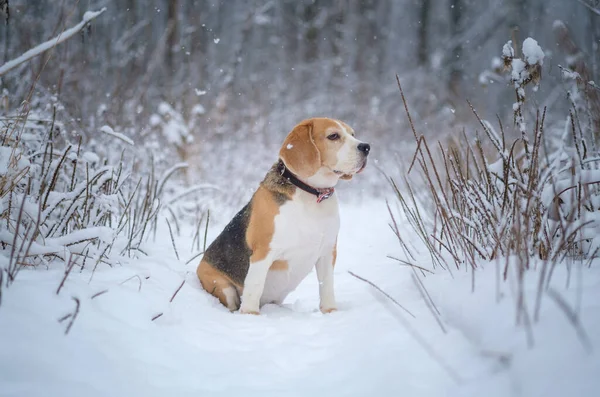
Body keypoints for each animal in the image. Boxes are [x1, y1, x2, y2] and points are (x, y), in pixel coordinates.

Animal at [196, 117, 370, 312]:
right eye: (333, 136)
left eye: (353, 134)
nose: (366, 147)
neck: (312, 194)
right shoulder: (263, 252)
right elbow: (254, 287)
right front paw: (250, 315)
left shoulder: (327, 251)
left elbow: (326, 285)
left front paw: (330, 311)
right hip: (222, 286)